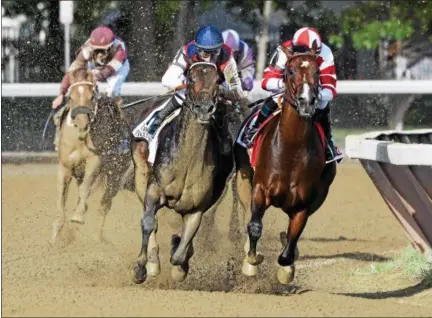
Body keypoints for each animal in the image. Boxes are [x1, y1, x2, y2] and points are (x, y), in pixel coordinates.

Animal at [51, 67, 132, 245]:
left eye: (92, 97)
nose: (82, 124)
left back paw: (97, 238)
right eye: (71, 97)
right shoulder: (65, 167)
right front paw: (55, 237)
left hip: (115, 175)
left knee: (105, 204)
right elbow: (60, 198)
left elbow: (85, 188)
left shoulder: (94, 162)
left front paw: (78, 216)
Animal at [130, 61, 235, 284]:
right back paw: (153, 262)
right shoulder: (154, 190)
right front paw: (141, 268)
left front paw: (179, 257)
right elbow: (148, 223)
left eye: (217, 80)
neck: (186, 163)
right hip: (140, 174)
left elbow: (180, 253)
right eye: (191, 78)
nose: (204, 109)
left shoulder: (197, 208)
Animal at [240, 41, 338, 286]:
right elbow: (255, 227)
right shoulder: (260, 188)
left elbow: (290, 244)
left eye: (317, 72)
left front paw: (286, 269)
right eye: (290, 70)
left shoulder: (304, 203)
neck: (290, 150)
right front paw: (251, 262)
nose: (307, 102)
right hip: (243, 176)